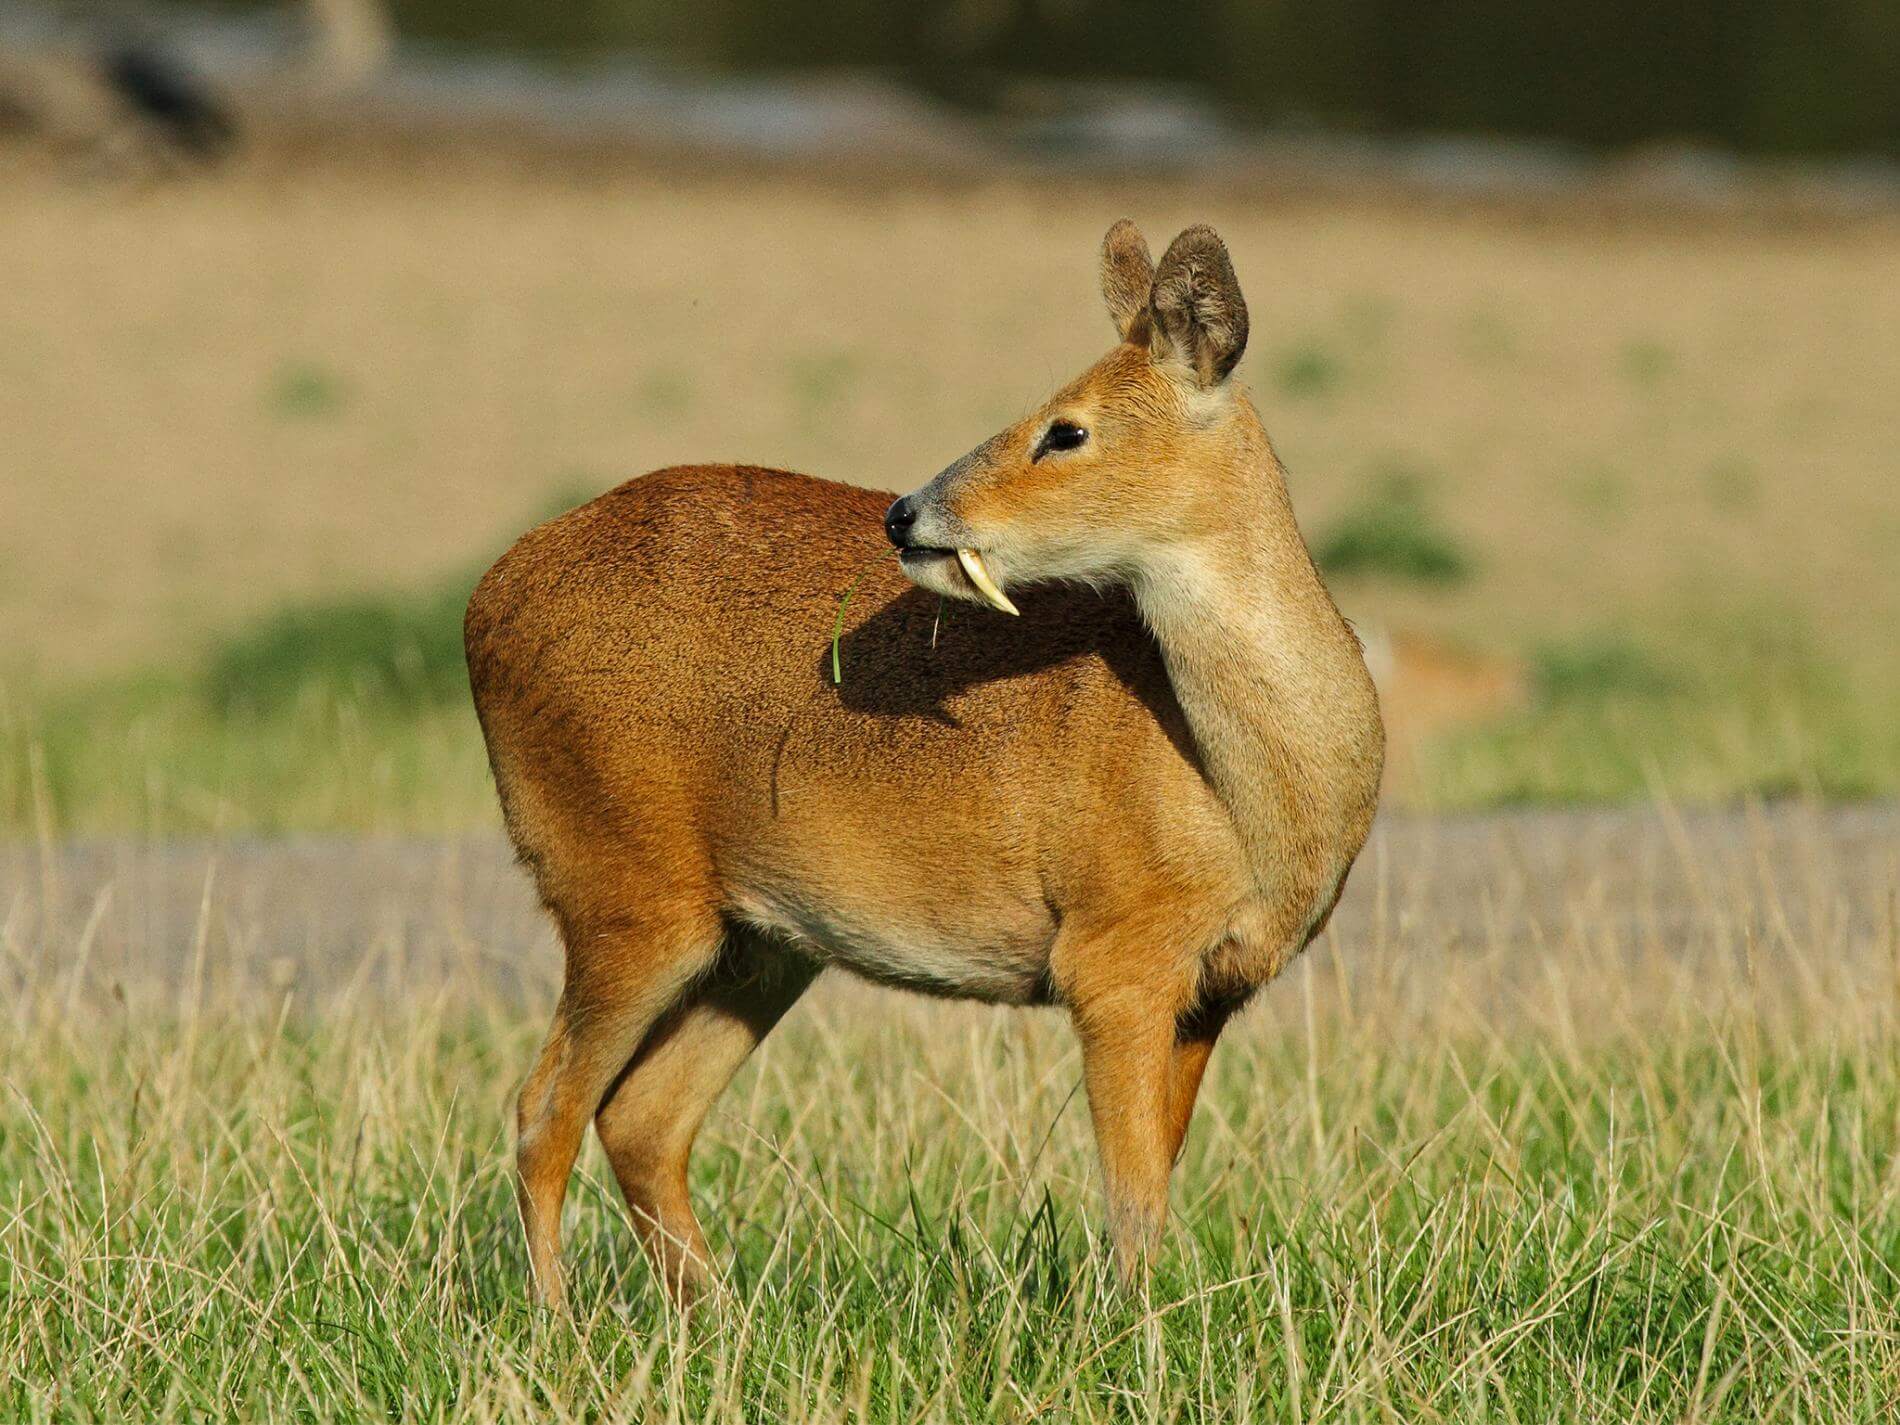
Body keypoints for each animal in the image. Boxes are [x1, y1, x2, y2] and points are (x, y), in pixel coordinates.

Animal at [459, 220, 1383, 1307]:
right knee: (542, 1111)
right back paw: (561, 1324)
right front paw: (1131, 1330)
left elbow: (1154, 1177)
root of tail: (486, 600)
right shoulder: (1111, 955)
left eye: (1065, 431)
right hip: (620, 889)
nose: (906, 513)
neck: (1245, 793)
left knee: (639, 1117)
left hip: (757, 942)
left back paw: (721, 1319)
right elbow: (1132, 1198)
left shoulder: (1213, 988)